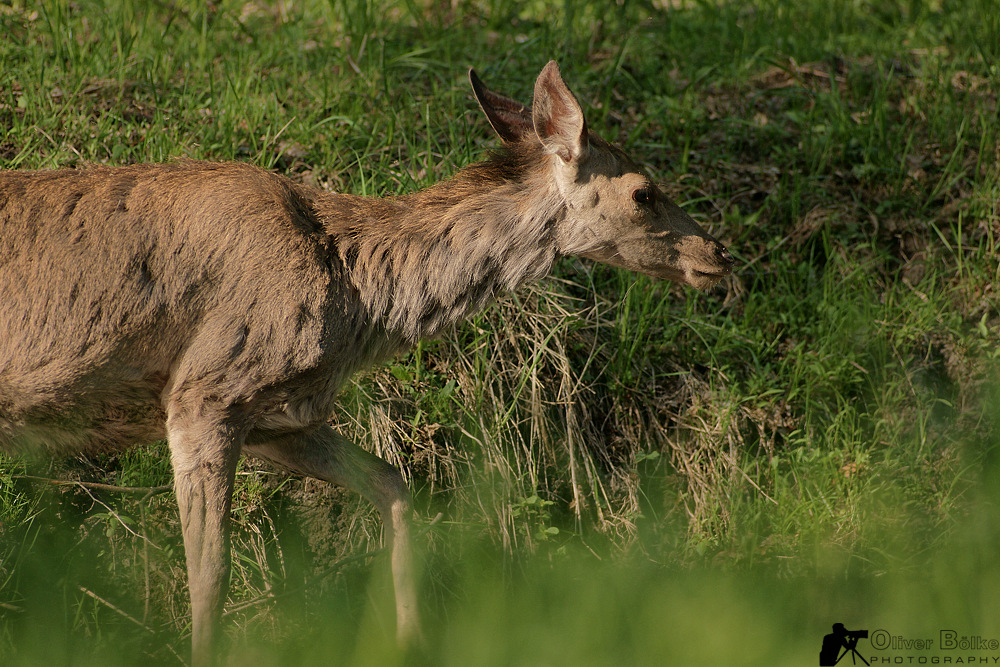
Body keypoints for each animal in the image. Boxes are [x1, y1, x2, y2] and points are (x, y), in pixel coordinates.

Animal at [0, 61, 736, 664]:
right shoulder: (205, 390)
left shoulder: (281, 417)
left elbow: (394, 480)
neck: (356, 301)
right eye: (644, 191)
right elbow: (211, 575)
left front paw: (405, 638)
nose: (719, 256)